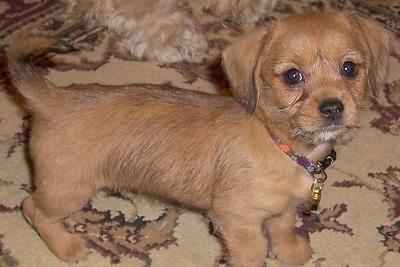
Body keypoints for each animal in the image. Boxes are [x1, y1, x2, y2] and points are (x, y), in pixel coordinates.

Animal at [5, 11, 388, 266]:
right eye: (293, 76)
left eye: (349, 68)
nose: (332, 107)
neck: (282, 144)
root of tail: (54, 98)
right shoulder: (238, 220)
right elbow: (253, 251)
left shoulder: (281, 208)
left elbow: (281, 227)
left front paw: (292, 252)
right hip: (68, 189)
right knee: (32, 208)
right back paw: (66, 246)